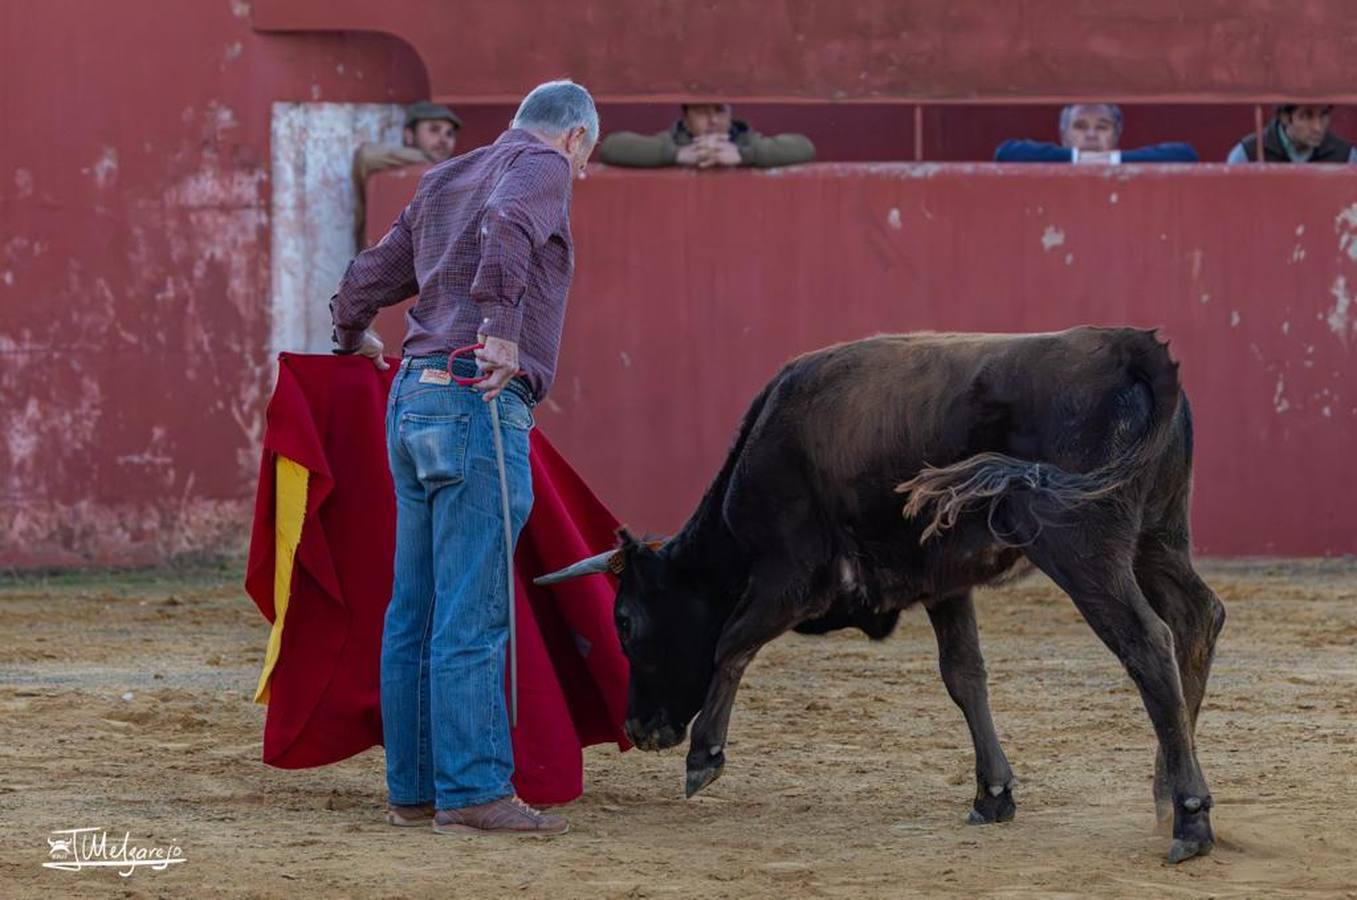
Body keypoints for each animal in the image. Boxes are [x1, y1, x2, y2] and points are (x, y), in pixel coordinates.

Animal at [537, 327, 1232, 863]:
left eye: (626, 621)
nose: (638, 728)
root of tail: (1130, 346)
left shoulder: (797, 577)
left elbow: (730, 642)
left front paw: (704, 756)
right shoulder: (946, 582)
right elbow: (964, 676)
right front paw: (992, 796)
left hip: (1082, 545)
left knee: (1147, 645)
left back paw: (1190, 817)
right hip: (1157, 538)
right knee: (1198, 619)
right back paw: (1163, 794)